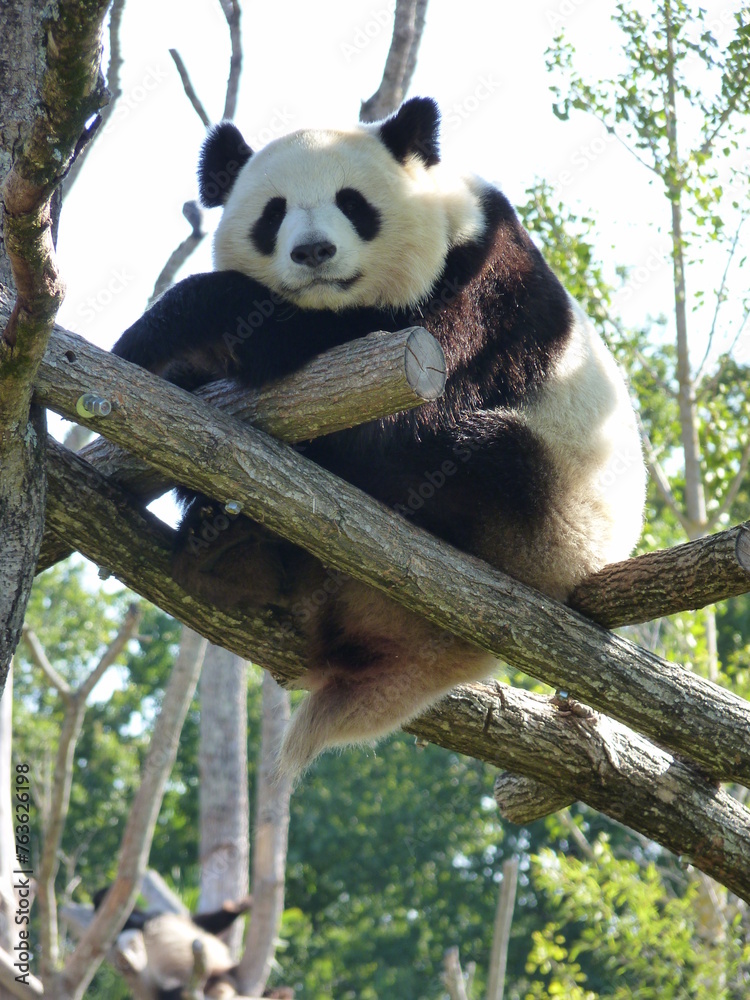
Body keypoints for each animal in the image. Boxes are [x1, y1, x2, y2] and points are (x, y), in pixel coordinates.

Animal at [112, 97, 646, 777]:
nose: (314, 252)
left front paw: (162, 325)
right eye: (273, 212)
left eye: (353, 203)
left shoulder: (478, 289)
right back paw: (232, 555)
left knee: (470, 453)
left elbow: (389, 409)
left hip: (546, 515)